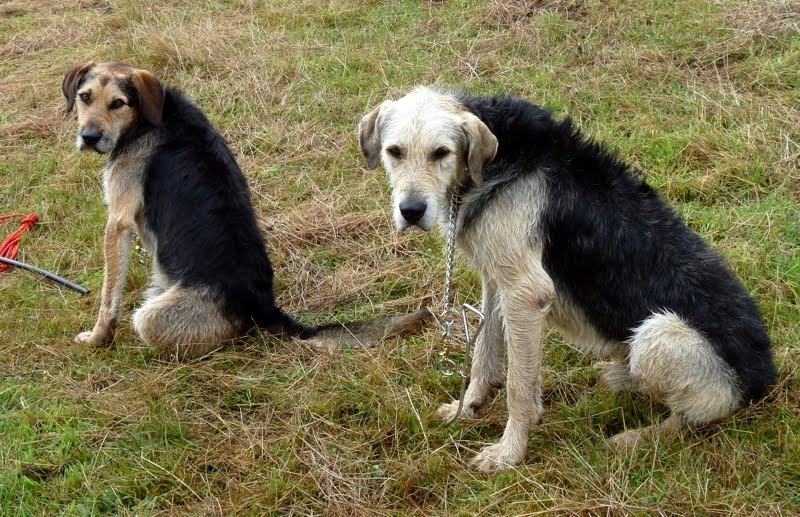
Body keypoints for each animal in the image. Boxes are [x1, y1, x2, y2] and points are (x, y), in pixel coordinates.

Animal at [62, 61, 430, 359]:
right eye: (84, 97)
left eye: (118, 103)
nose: (89, 137)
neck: (150, 119)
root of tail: (264, 309)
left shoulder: (118, 222)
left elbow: (108, 300)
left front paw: (97, 340)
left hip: (150, 317)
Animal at [359, 87, 778, 472]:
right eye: (394, 152)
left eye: (441, 153)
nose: (411, 211)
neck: (499, 159)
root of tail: (765, 375)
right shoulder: (497, 282)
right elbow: (484, 353)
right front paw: (469, 407)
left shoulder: (526, 294)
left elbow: (518, 387)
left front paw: (509, 453)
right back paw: (620, 377)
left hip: (659, 335)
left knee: (689, 419)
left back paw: (638, 438)